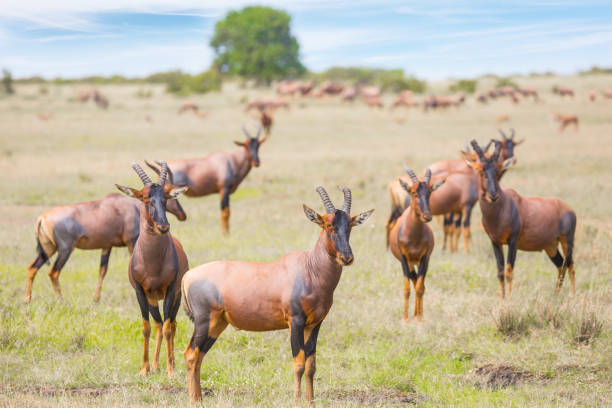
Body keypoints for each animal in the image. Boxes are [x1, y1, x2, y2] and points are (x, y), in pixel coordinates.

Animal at [24, 185, 186, 302]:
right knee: (53, 272)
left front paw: (96, 299)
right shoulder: (131, 241)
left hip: (49, 249)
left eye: (166, 197)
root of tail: (42, 217)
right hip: (65, 249)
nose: (182, 215)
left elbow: (102, 270)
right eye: (171, 197)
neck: (127, 206)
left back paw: (28, 300)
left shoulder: (106, 246)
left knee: (32, 267)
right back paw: (61, 300)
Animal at [115, 162, 189, 376]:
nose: (163, 227)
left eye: (165, 199)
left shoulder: (171, 290)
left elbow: (168, 328)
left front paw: (171, 370)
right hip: (153, 299)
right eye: (146, 198)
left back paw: (170, 364)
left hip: (174, 297)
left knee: (171, 324)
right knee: (158, 324)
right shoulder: (140, 292)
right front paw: (144, 369)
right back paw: (155, 365)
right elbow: (146, 327)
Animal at [180, 186, 372, 404]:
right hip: (205, 321)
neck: (309, 268)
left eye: (350, 225)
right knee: (191, 354)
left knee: (199, 355)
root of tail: (188, 276)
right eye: (328, 224)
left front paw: (310, 401)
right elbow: (298, 363)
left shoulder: (315, 324)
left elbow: (311, 365)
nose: (347, 257)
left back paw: (199, 398)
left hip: (217, 324)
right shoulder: (295, 321)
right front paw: (297, 401)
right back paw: (194, 400)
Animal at [388, 167, 444, 320]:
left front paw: (419, 319)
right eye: (414, 192)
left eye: (430, 191)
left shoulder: (425, 258)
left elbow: (420, 288)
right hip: (410, 263)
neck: (413, 236)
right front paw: (405, 319)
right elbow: (407, 289)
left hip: (419, 262)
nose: (427, 216)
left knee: (420, 284)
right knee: (413, 281)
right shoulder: (403, 259)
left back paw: (418, 314)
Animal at [466, 142, 576, 298]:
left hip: (567, 240)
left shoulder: (513, 241)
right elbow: (500, 272)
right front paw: (502, 299)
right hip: (551, 246)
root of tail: (569, 209)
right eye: (481, 171)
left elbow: (509, 271)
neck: (503, 205)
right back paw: (555, 295)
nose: (493, 195)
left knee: (570, 265)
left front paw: (510, 300)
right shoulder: (495, 242)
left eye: (498, 170)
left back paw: (573, 296)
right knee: (561, 265)